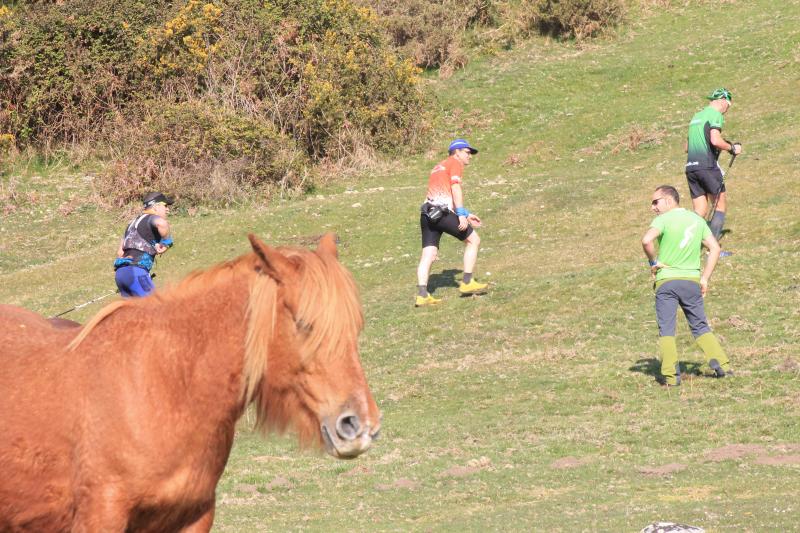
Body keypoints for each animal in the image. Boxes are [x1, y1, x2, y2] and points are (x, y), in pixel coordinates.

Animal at [0, 233, 382, 532]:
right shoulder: (100, 516)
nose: (360, 426)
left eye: (355, 326)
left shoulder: (193, 517)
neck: (167, 385)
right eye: (304, 324)